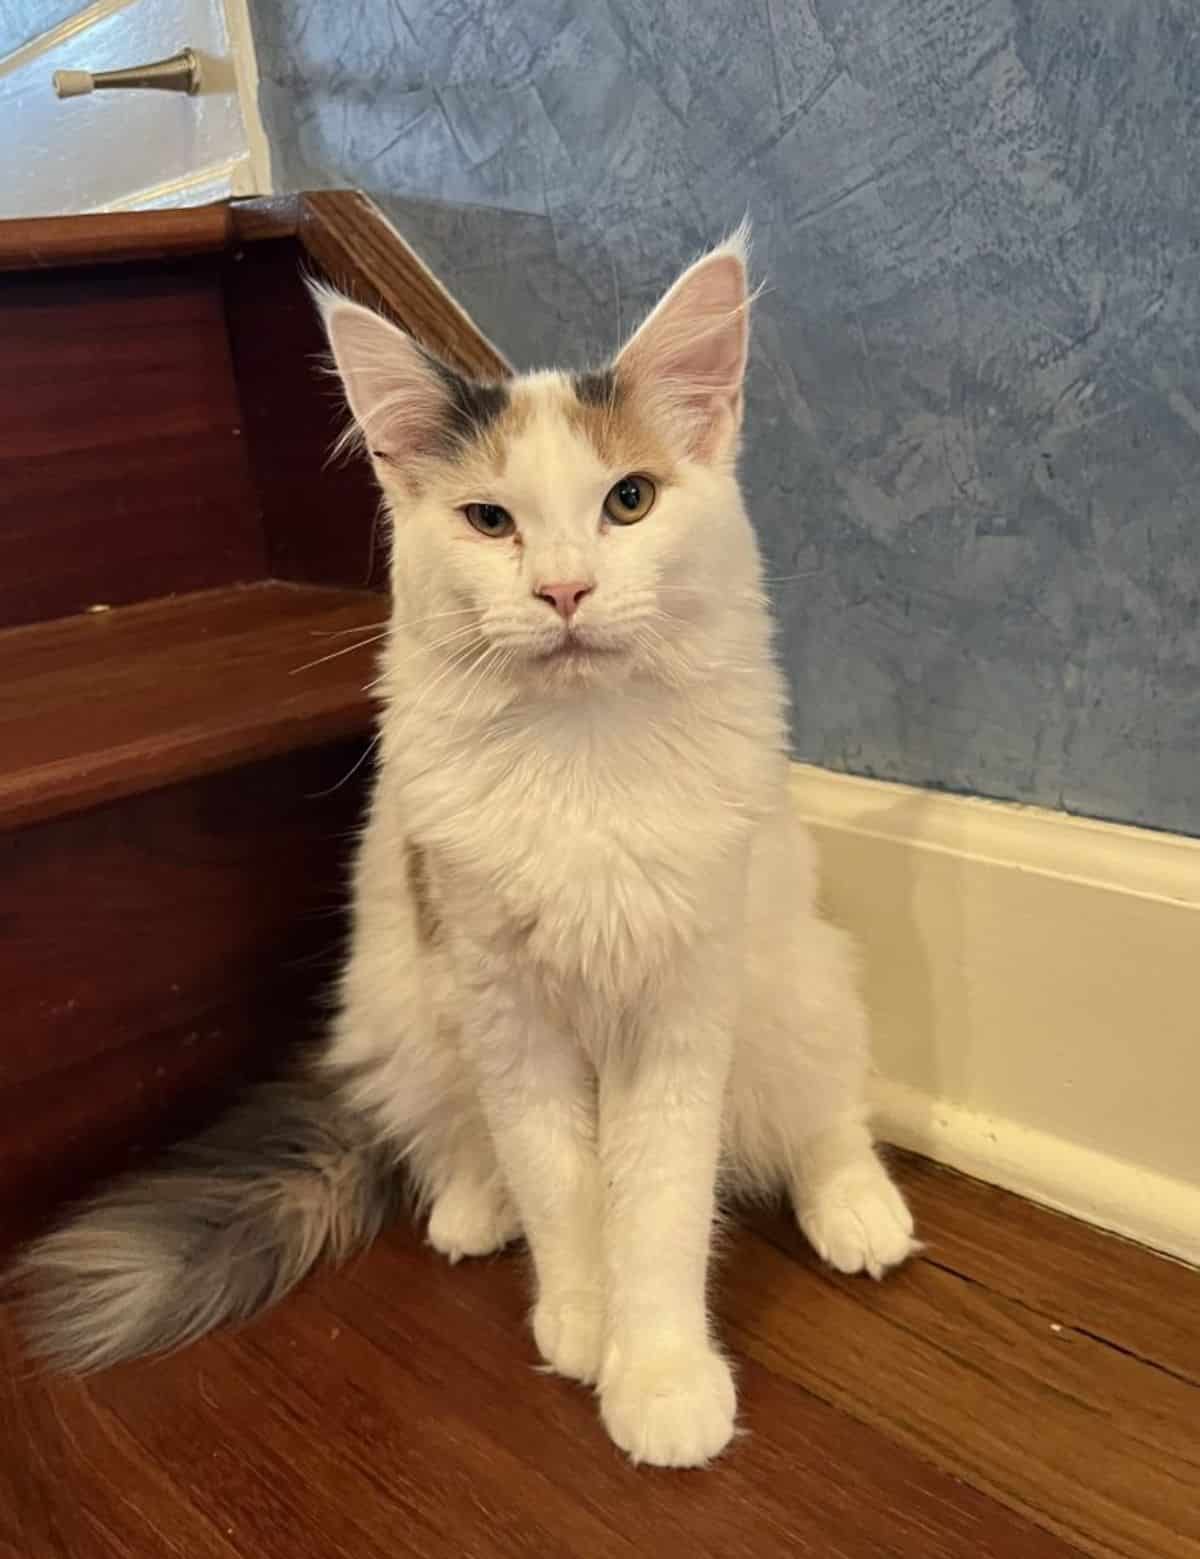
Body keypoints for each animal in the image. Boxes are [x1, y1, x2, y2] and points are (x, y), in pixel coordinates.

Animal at [18, 226, 910, 1465]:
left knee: (828, 1113)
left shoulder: (680, 1005)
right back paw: (473, 1209)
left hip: (796, 975)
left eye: (628, 500)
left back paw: (861, 1213)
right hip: (408, 998)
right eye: (491, 521)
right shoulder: (503, 1004)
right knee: (459, 1138)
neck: (581, 762)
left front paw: (660, 1376)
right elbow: (560, 1176)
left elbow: (659, 1202)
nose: (564, 589)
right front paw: (582, 1322)